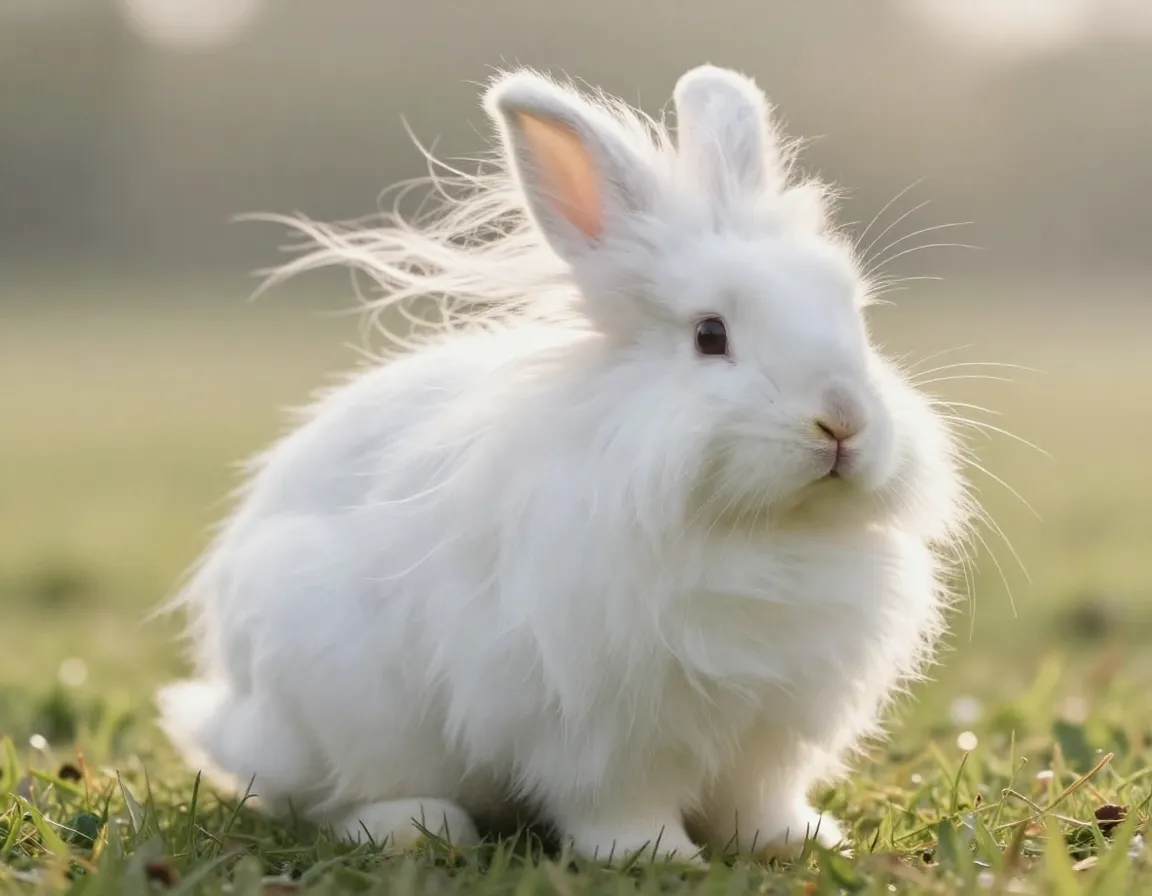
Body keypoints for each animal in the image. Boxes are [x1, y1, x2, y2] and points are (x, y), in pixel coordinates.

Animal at [156, 63, 974, 864]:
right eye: (710, 335)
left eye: (854, 318)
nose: (843, 421)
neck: (763, 534)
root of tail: (231, 716)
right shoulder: (601, 728)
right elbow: (617, 801)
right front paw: (653, 855)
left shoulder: (769, 733)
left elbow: (758, 799)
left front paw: (794, 840)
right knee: (336, 797)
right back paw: (418, 828)